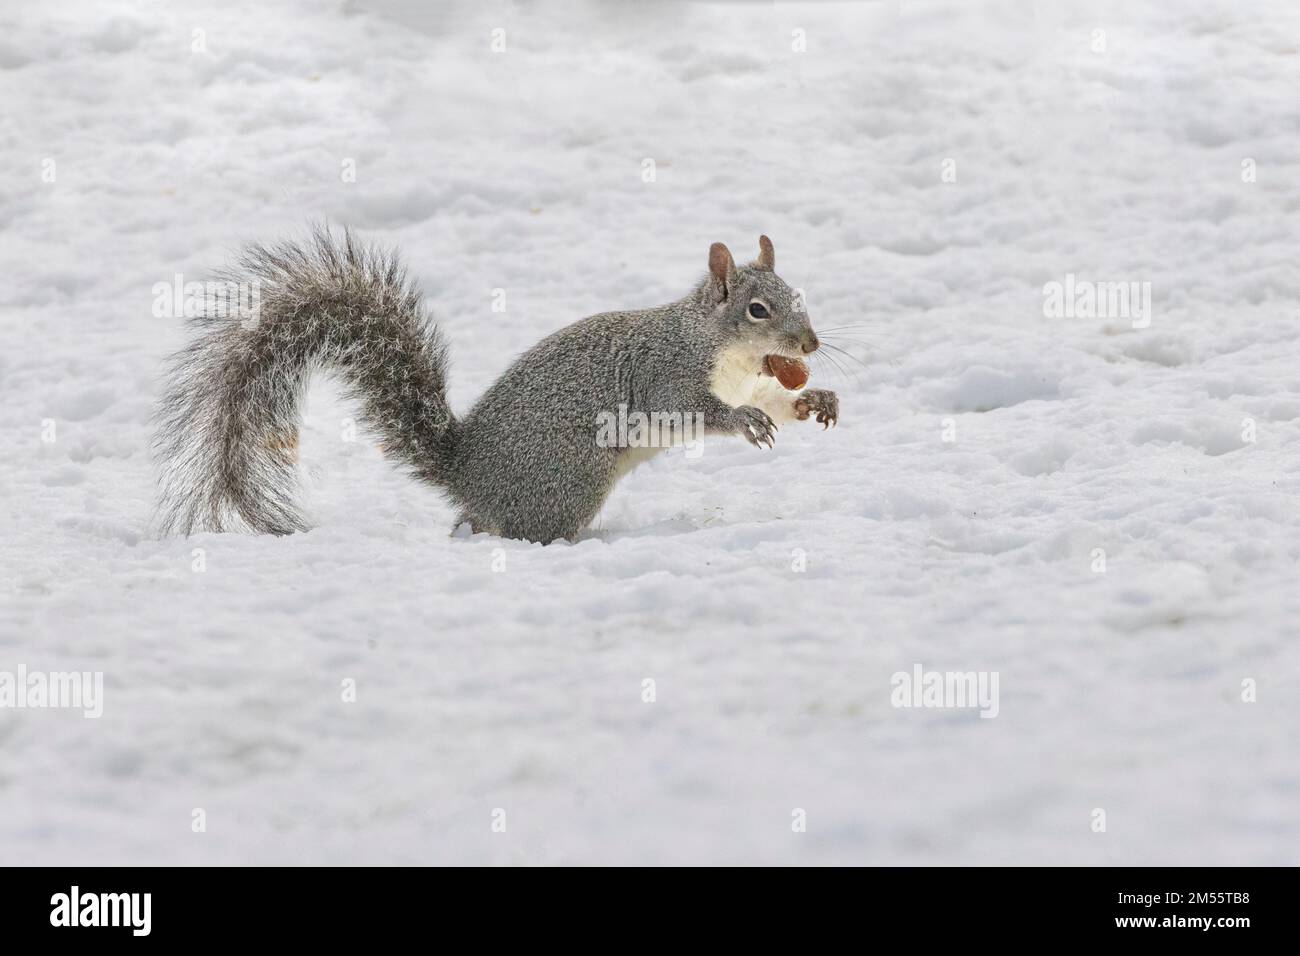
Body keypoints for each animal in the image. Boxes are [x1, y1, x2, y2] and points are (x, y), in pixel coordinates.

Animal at [154, 226, 842, 546]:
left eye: (797, 294)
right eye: (757, 309)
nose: (810, 345)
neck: (724, 351)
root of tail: (466, 471)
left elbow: (772, 397)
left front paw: (815, 400)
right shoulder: (665, 375)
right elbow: (695, 410)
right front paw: (745, 423)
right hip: (567, 486)